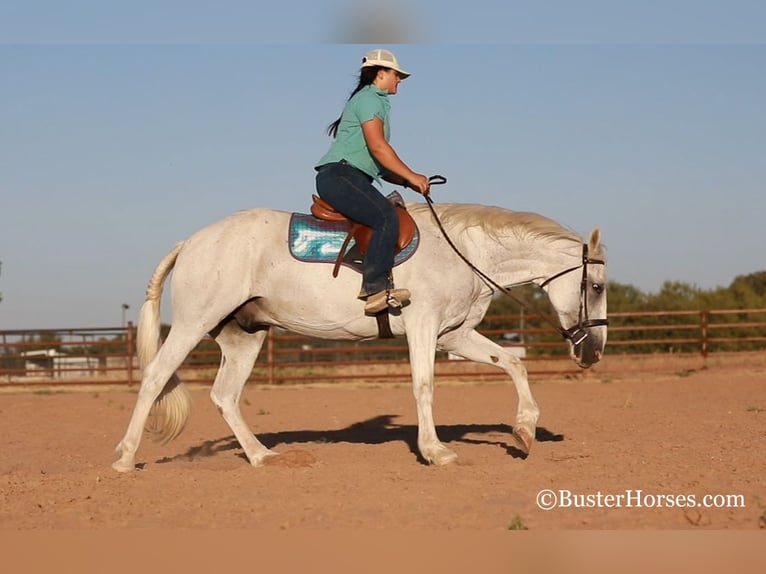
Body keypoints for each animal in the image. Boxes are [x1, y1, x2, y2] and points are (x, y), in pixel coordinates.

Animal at [111, 200, 608, 474]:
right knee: (154, 379)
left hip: (244, 337)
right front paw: (436, 451)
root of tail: (191, 242)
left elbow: (513, 362)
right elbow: (424, 386)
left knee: (225, 396)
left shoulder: (455, 335)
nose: (594, 352)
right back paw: (125, 458)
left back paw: (261, 456)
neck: (463, 252)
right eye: (598, 288)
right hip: (194, 324)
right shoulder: (425, 327)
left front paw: (524, 431)